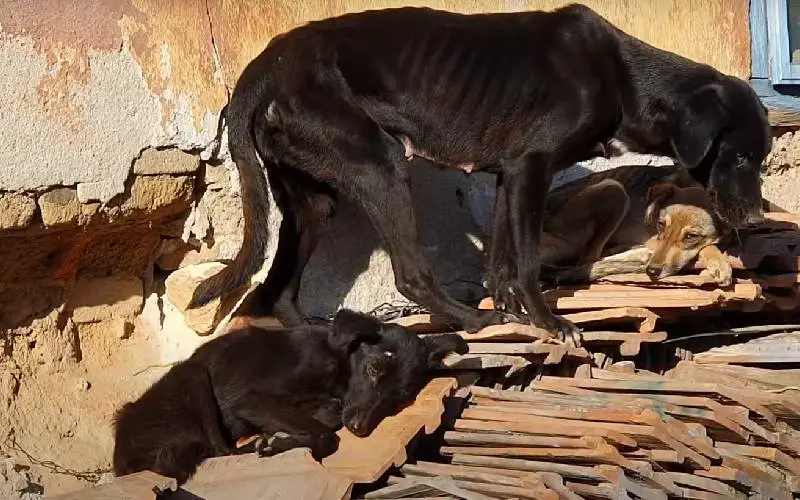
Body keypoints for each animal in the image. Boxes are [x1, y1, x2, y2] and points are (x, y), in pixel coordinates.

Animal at [109, 308, 466, 484]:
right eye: (374, 369)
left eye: (401, 396)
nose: (360, 429)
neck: (338, 358)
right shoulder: (251, 399)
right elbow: (326, 436)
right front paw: (279, 443)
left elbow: (327, 417)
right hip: (194, 377)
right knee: (219, 450)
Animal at [540, 164, 736, 286]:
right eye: (661, 224)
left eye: (691, 236)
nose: (652, 272)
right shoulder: (653, 239)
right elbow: (707, 246)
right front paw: (719, 263)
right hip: (614, 188)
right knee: (588, 259)